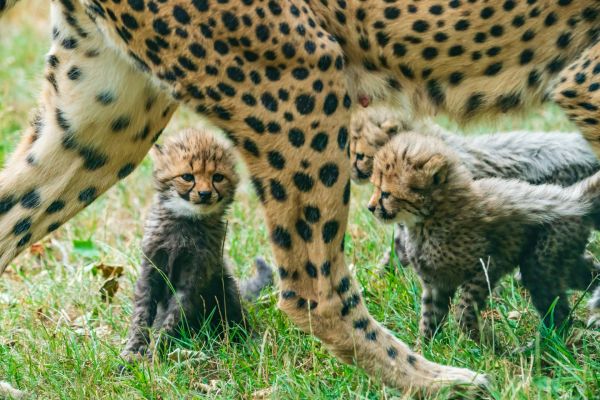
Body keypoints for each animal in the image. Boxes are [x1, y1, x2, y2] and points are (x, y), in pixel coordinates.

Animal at [0, 0, 596, 392]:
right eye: (192, 179)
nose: (201, 189)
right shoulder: (581, 80)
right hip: (296, 71)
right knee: (313, 291)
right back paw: (441, 381)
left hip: (104, 116)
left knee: (13, 212)